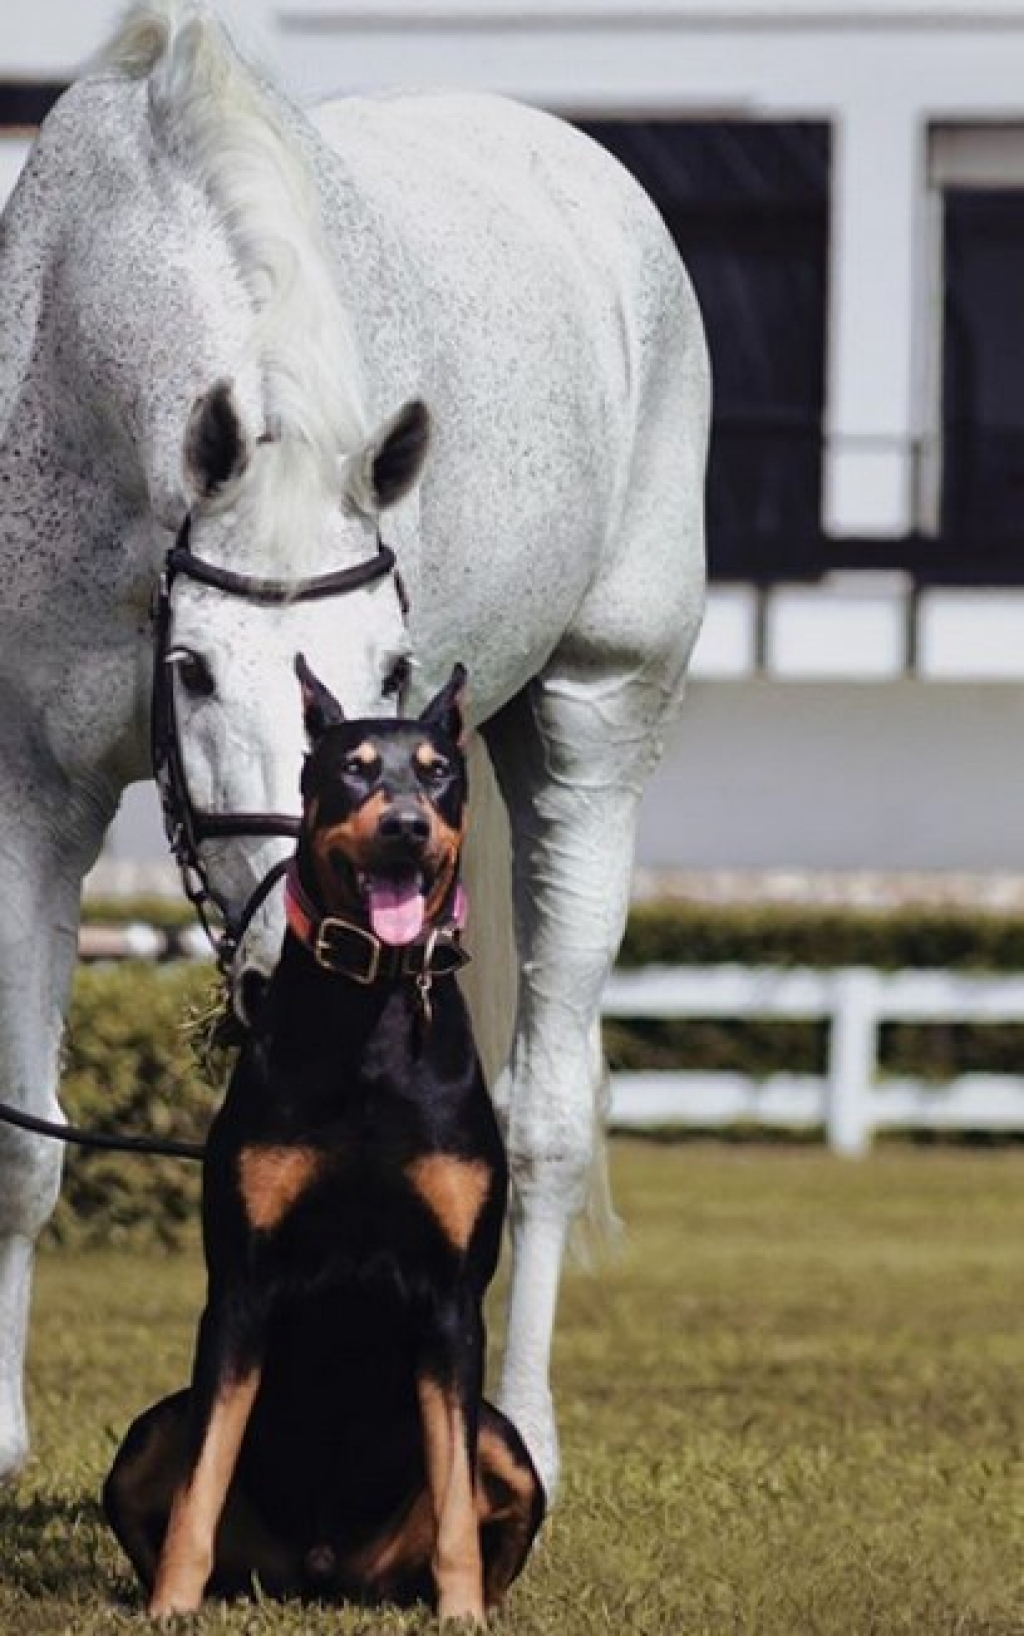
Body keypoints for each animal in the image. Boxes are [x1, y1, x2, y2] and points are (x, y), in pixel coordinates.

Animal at [0, 3, 706, 1505]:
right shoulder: (32, 795)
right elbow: (21, 1144)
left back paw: (521, 1433)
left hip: (598, 727)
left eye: (388, 674)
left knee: (546, 1118)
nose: (297, 948)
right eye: (195, 670)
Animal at [105, 660, 543, 1622]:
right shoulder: (241, 1286)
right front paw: (171, 1609)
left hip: (511, 1449)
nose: (408, 826)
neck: (371, 1007)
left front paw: (461, 1615)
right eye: (352, 769)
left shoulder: (453, 1299)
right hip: (153, 1428)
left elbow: (456, 1498)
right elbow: (201, 1480)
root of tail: (325, 1571)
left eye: (438, 773)